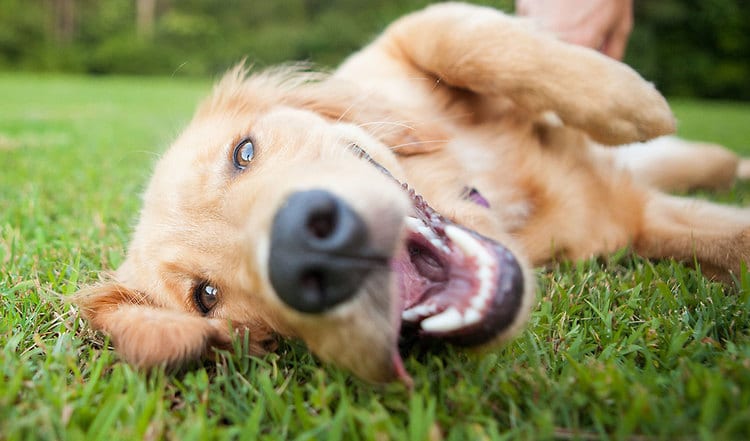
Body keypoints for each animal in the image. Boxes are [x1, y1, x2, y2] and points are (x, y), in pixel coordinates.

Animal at [75, 2, 750, 382]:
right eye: (206, 297)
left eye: (243, 153)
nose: (307, 250)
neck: (487, 194)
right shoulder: (630, 221)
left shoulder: (399, 43)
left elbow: (461, 35)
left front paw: (627, 100)